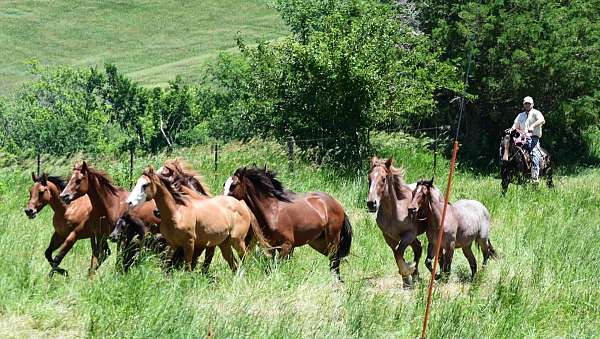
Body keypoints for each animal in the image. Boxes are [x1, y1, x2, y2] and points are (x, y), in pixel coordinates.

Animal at [126, 167, 258, 274]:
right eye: (137, 183)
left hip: (238, 241)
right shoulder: (173, 244)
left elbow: (188, 267)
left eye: (145, 185)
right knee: (234, 265)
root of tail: (242, 205)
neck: (176, 212)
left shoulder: (189, 244)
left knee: (245, 258)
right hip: (224, 244)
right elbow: (166, 266)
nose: (129, 202)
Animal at [224, 166, 352, 280]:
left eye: (233, 185)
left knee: (334, 262)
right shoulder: (272, 247)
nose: (223, 201)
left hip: (332, 240)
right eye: (224, 185)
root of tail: (337, 205)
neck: (272, 211)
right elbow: (271, 268)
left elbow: (279, 267)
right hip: (318, 242)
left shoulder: (286, 246)